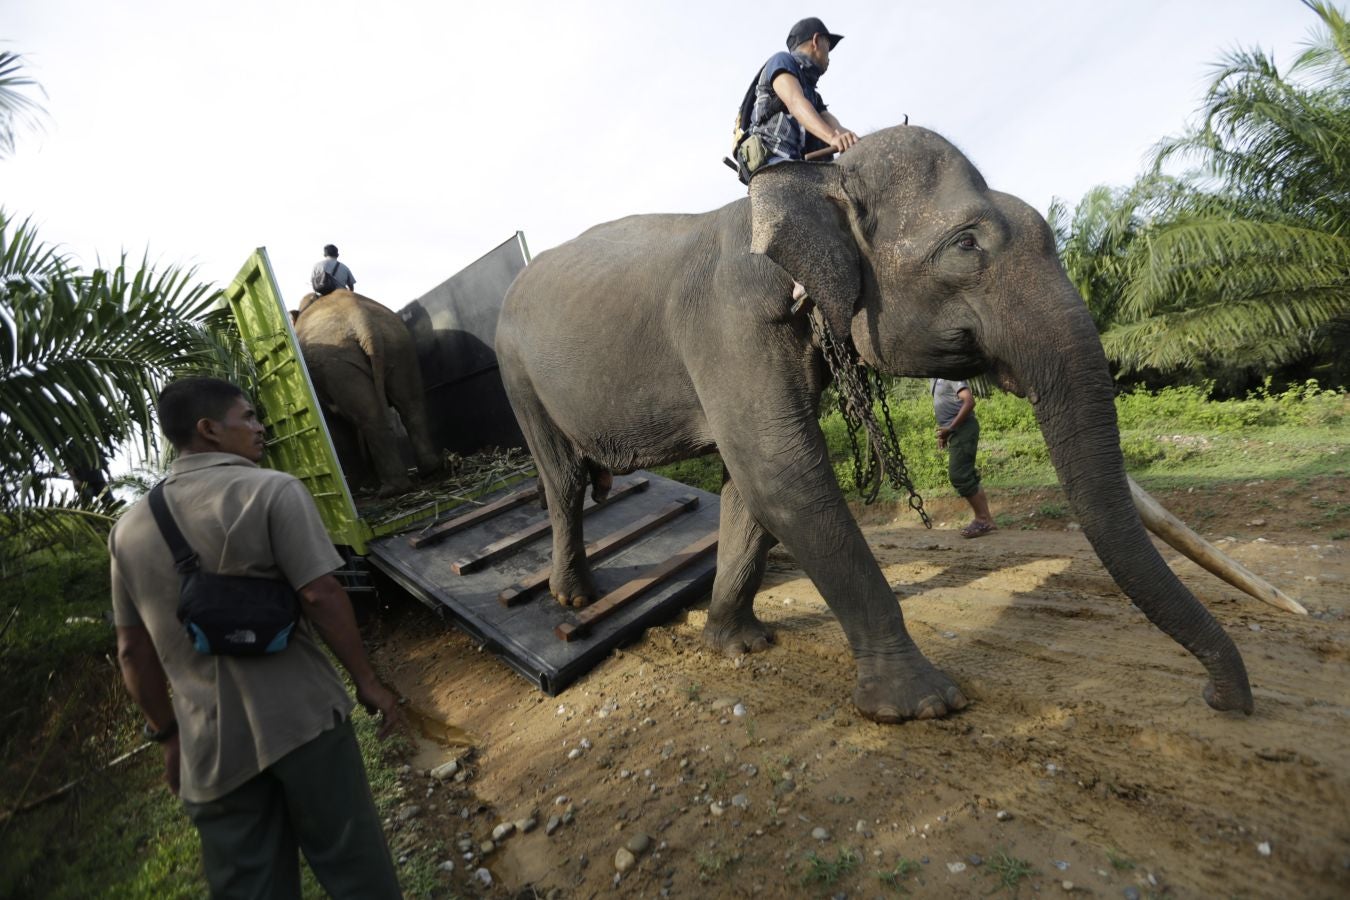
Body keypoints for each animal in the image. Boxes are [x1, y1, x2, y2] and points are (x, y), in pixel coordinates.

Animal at [295, 290, 442, 493]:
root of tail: (362, 319)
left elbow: (338, 429)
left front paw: (360, 486)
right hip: (398, 343)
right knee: (411, 405)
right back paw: (429, 470)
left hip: (339, 365)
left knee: (371, 419)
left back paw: (390, 490)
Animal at [496, 121, 1252, 723]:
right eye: (966, 244)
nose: (1223, 699)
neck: (810, 179)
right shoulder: (729, 322)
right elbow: (782, 471)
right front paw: (922, 705)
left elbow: (752, 484)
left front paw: (738, 647)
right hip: (515, 370)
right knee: (561, 478)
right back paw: (573, 594)